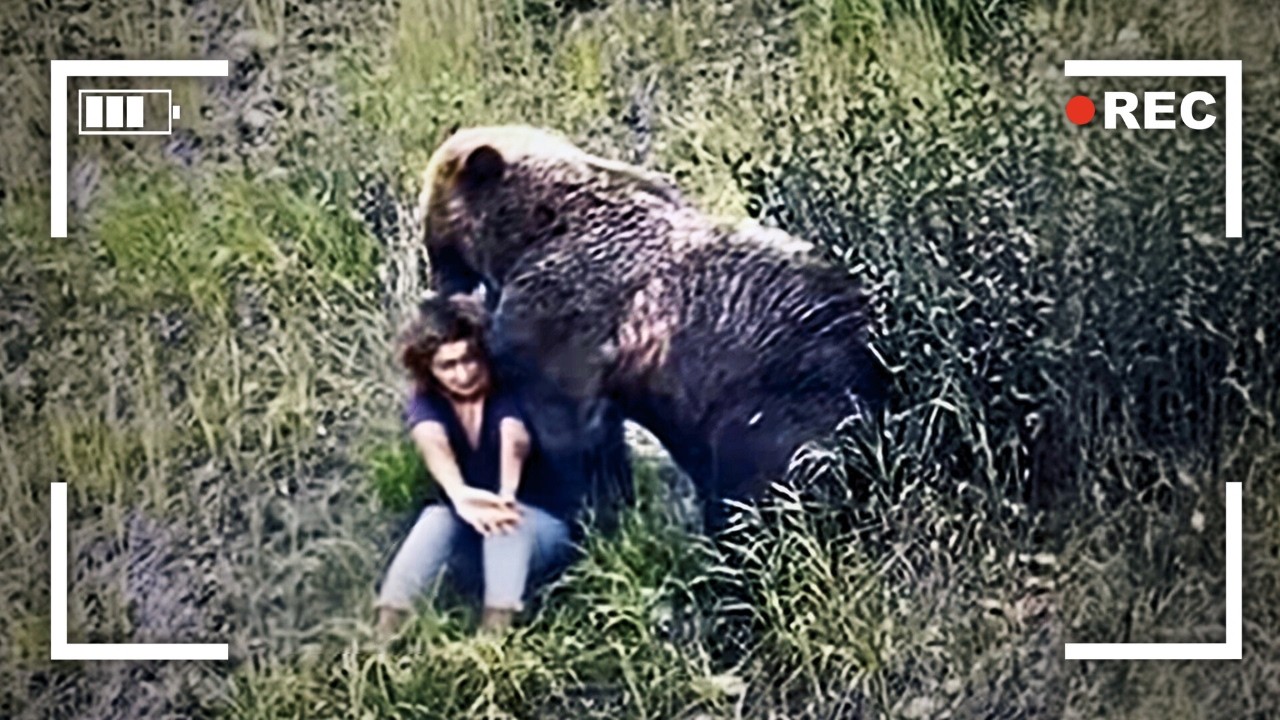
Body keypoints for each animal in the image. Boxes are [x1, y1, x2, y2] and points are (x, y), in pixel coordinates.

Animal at [419, 125, 888, 531]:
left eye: (431, 230)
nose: (437, 284)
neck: (527, 233)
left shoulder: (560, 320)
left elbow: (566, 429)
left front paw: (585, 512)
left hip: (776, 397)